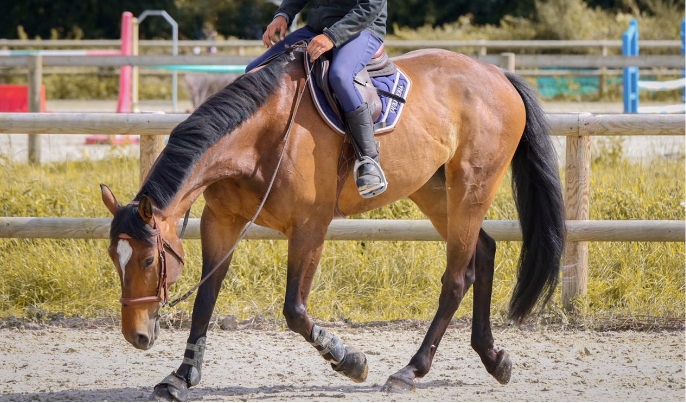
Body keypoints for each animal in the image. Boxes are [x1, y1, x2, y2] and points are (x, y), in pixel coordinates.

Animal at [101, 45, 564, 400]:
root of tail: (497, 75)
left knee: (454, 279)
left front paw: (351, 361)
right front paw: (181, 377)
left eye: (147, 261)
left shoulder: (309, 228)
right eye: (113, 258)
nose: (135, 336)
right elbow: (205, 299)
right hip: (435, 191)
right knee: (481, 254)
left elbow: (294, 310)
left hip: (471, 188)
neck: (262, 135)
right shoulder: (222, 222)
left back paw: (410, 371)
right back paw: (493, 358)